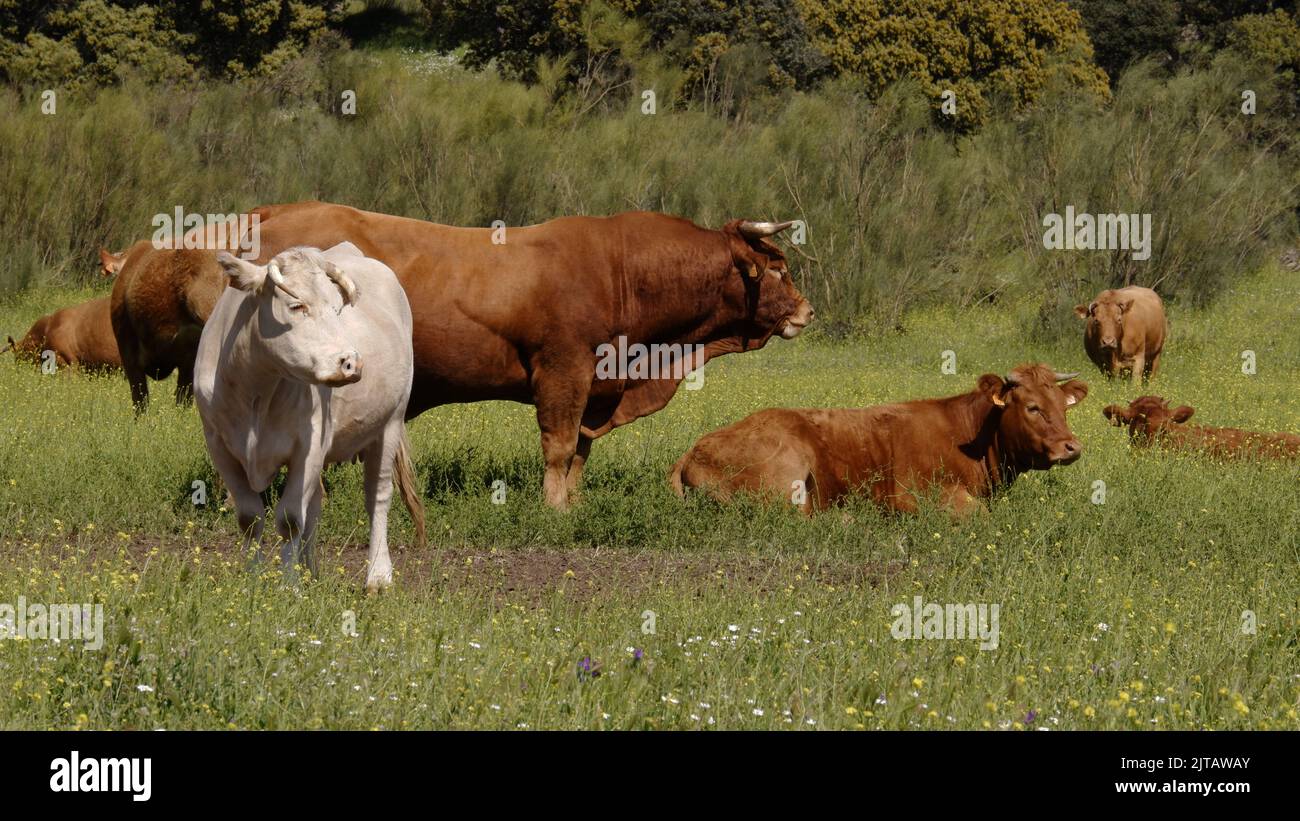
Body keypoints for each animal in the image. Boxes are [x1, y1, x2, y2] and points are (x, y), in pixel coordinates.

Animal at [195, 243, 426, 592]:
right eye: (296, 305)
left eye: (336, 309)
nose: (351, 362)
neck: (255, 391)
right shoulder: (219, 445)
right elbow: (250, 518)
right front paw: (255, 579)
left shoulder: (309, 444)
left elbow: (290, 519)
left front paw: (289, 585)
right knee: (315, 503)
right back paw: (309, 569)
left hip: (390, 424)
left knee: (377, 497)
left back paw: (378, 577)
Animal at [246, 201, 815, 509]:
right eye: (780, 270)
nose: (807, 311)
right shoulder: (564, 370)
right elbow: (560, 446)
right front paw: (553, 506)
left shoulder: (597, 386)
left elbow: (581, 450)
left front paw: (574, 503)